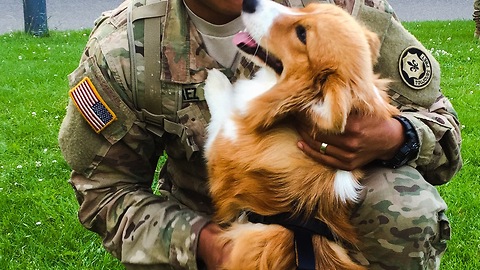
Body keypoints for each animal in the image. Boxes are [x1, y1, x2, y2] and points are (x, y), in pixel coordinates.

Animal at [204, 1, 400, 268]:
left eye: (302, 35)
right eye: (307, 7)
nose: (249, 3)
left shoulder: (223, 145)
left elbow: (224, 110)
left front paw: (215, 80)